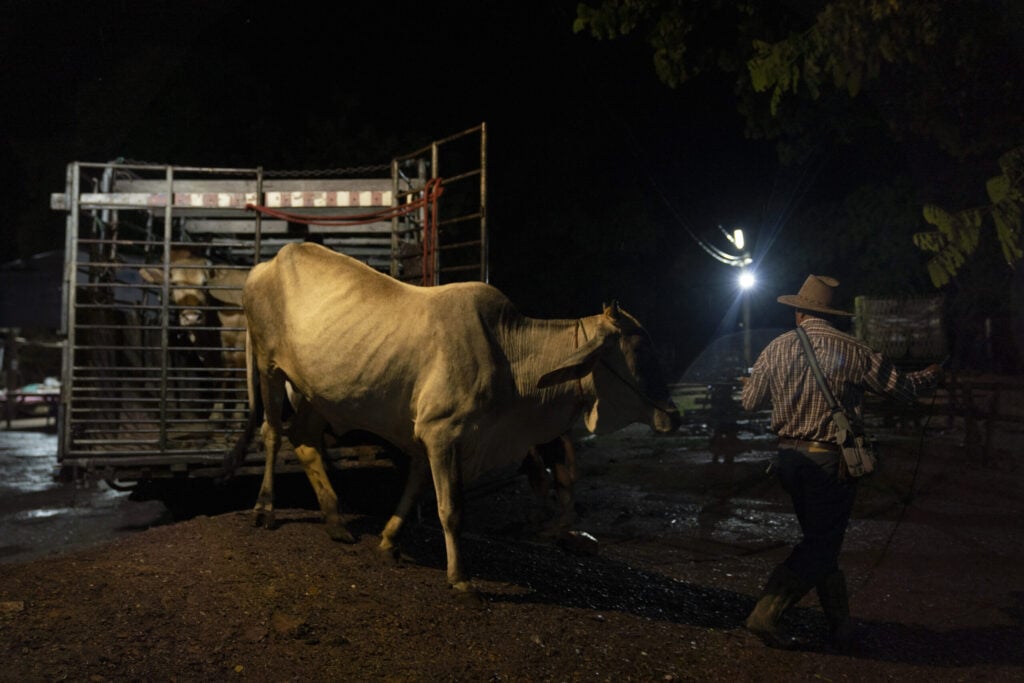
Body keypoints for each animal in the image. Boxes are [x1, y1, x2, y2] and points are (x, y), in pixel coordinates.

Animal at [49, 124, 489, 501]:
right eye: (170, 283)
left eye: (204, 281)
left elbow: (230, 395)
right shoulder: (203, 358)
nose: (190, 316)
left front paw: (223, 425)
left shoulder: (230, 355)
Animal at [232, 244, 679, 598]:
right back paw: (265, 509)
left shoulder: (432, 436)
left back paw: (336, 521)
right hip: (268, 365)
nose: (672, 415)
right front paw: (459, 577)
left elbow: (417, 487)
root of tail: (267, 264)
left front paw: (389, 541)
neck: (511, 357)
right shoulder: (441, 431)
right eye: (641, 348)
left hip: (315, 391)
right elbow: (451, 508)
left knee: (304, 438)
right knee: (272, 434)